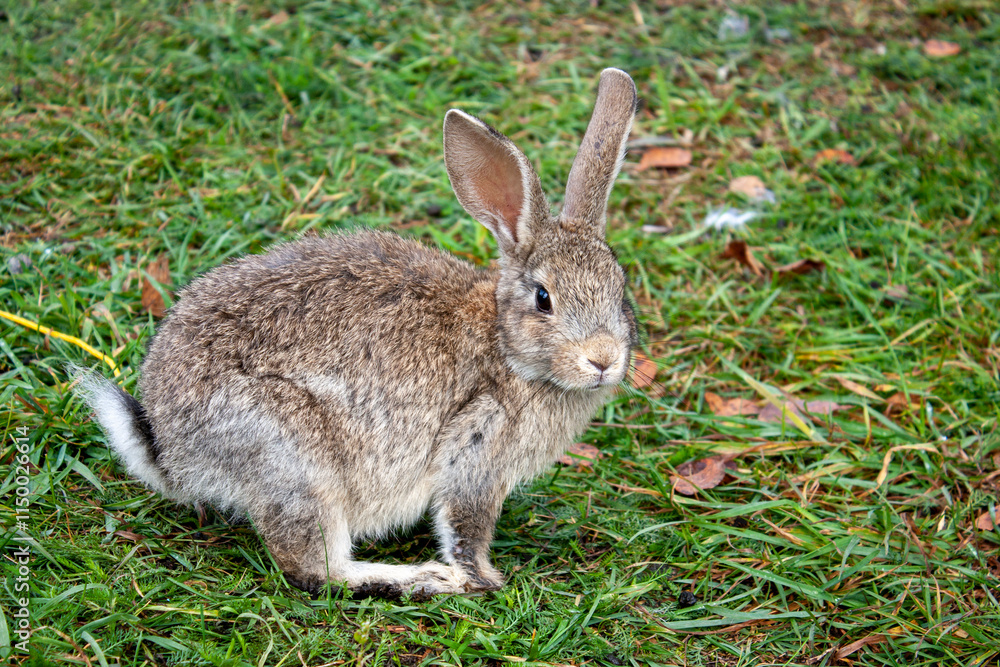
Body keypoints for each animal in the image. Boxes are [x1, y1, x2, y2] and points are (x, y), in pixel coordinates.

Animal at [75, 67, 639, 599]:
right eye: (544, 298)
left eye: (621, 288)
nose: (603, 359)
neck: (504, 344)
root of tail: (167, 446)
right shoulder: (477, 448)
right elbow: (465, 530)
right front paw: (479, 579)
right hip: (297, 459)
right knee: (312, 568)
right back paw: (420, 579)